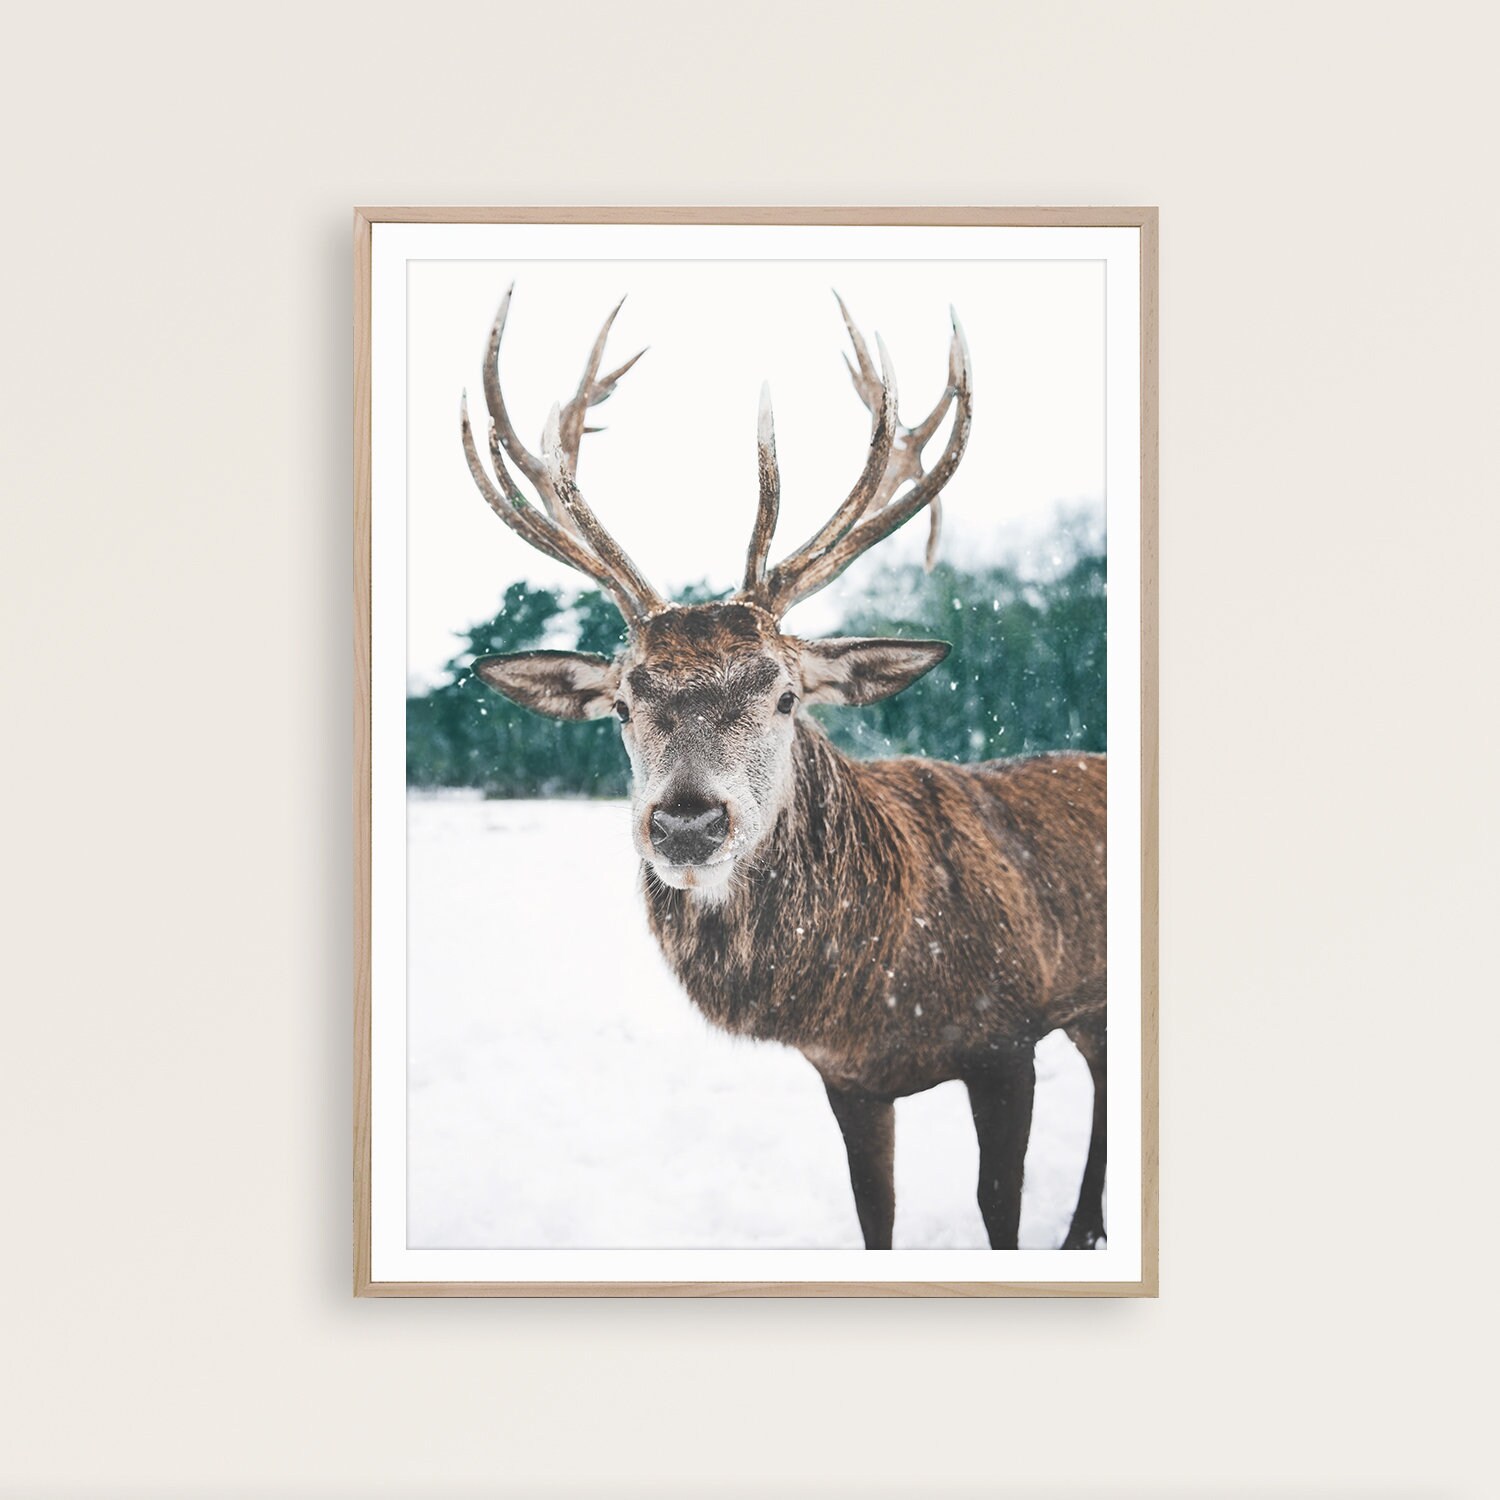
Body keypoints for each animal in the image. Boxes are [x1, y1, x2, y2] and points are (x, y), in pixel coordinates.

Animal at [458, 286, 1107, 1250]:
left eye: (786, 695)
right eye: (622, 704)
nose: (687, 819)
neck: (879, 997)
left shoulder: (1009, 1034)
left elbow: (999, 1208)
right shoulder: (847, 1078)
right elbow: (874, 1216)